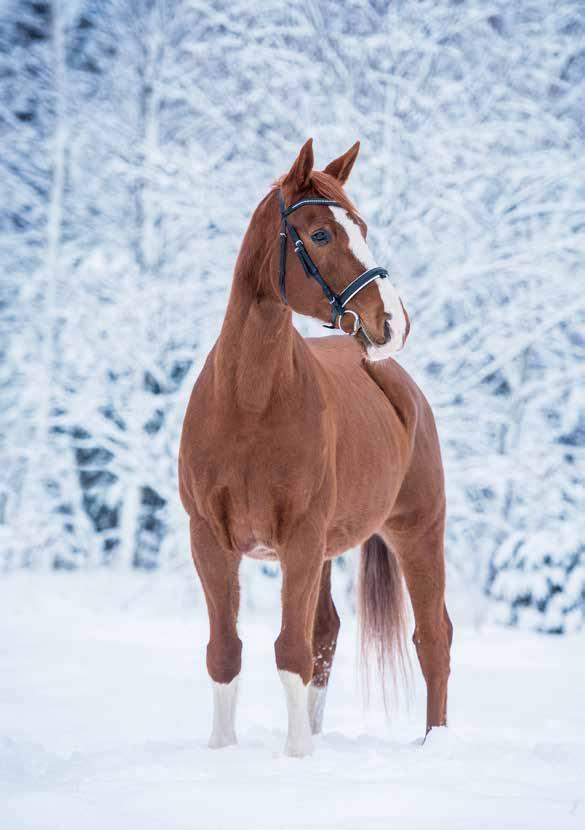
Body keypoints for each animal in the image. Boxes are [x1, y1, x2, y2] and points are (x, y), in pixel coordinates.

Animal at [179, 140, 452, 756]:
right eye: (322, 233)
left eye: (363, 227)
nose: (392, 320)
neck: (248, 405)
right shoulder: (211, 540)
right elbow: (226, 652)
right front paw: (224, 750)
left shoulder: (300, 538)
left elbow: (290, 651)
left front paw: (298, 756)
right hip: (329, 549)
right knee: (326, 630)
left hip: (417, 531)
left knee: (433, 637)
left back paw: (435, 743)